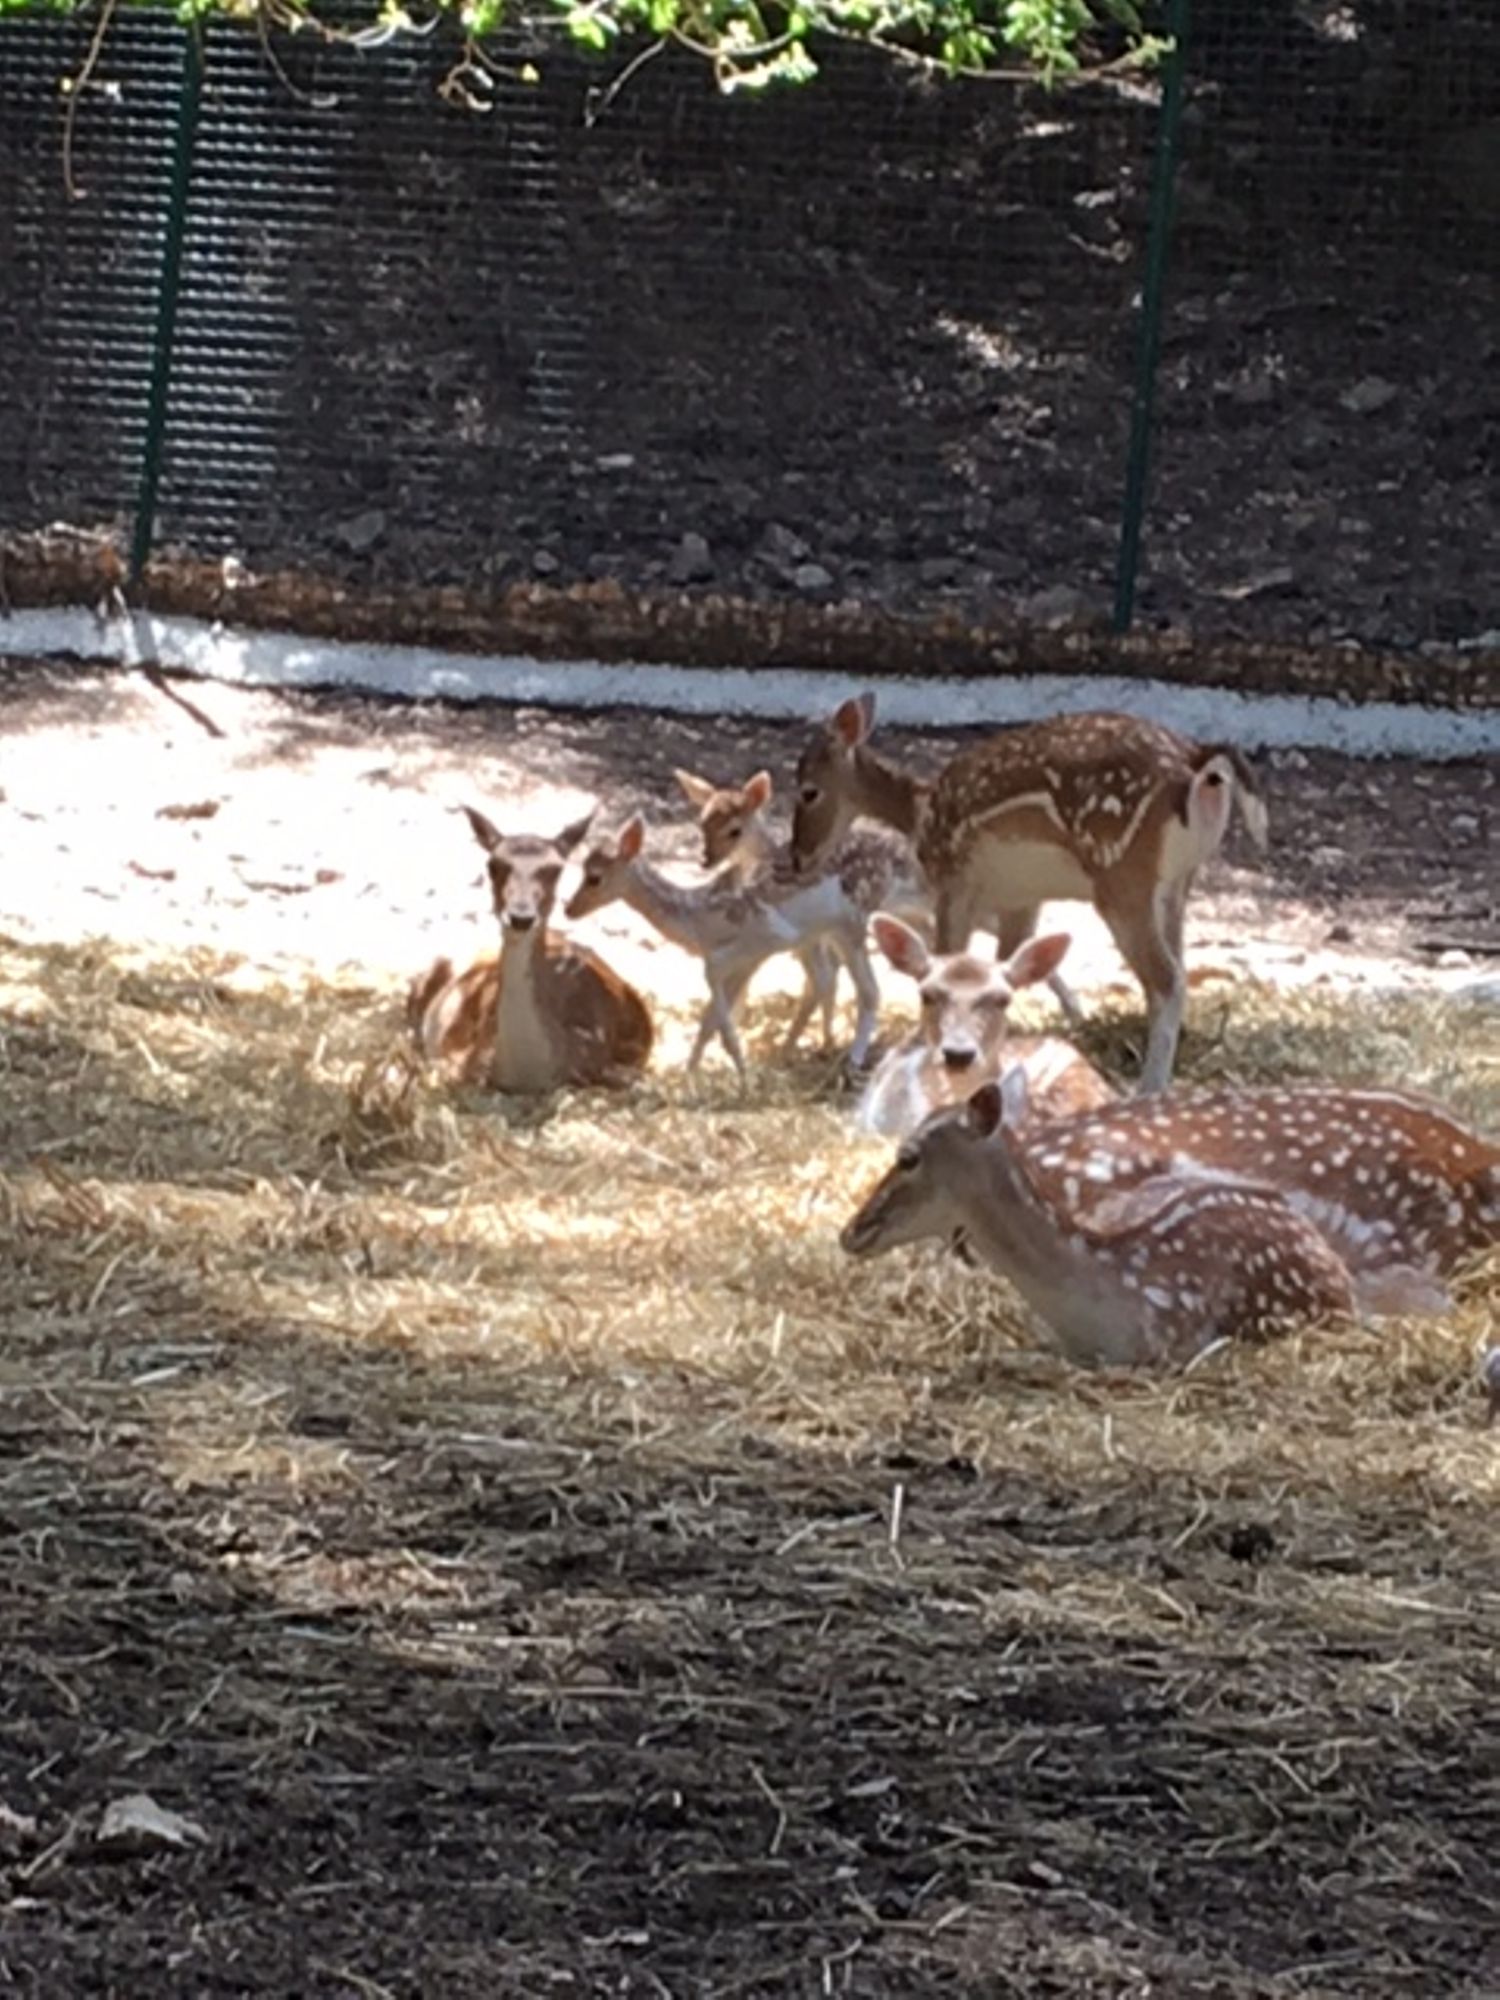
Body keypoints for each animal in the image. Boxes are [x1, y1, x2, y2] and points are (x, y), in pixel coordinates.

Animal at [564, 813, 884, 1076]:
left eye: (594, 877)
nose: (569, 909)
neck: (699, 920)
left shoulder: (765, 941)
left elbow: (714, 987)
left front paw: (742, 1072)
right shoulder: (749, 955)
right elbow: (708, 1021)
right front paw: (689, 1075)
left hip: (851, 921)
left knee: (866, 988)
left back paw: (851, 1061)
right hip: (829, 932)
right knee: (832, 981)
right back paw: (814, 1050)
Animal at [790, 693, 1269, 1096]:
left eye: (809, 790)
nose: (798, 857)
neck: (921, 815)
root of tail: (1197, 764)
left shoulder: (955, 882)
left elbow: (946, 961)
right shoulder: (1020, 898)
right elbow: (1010, 962)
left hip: (1121, 875)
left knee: (1166, 979)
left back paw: (1148, 1088)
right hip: (1176, 884)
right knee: (1178, 969)